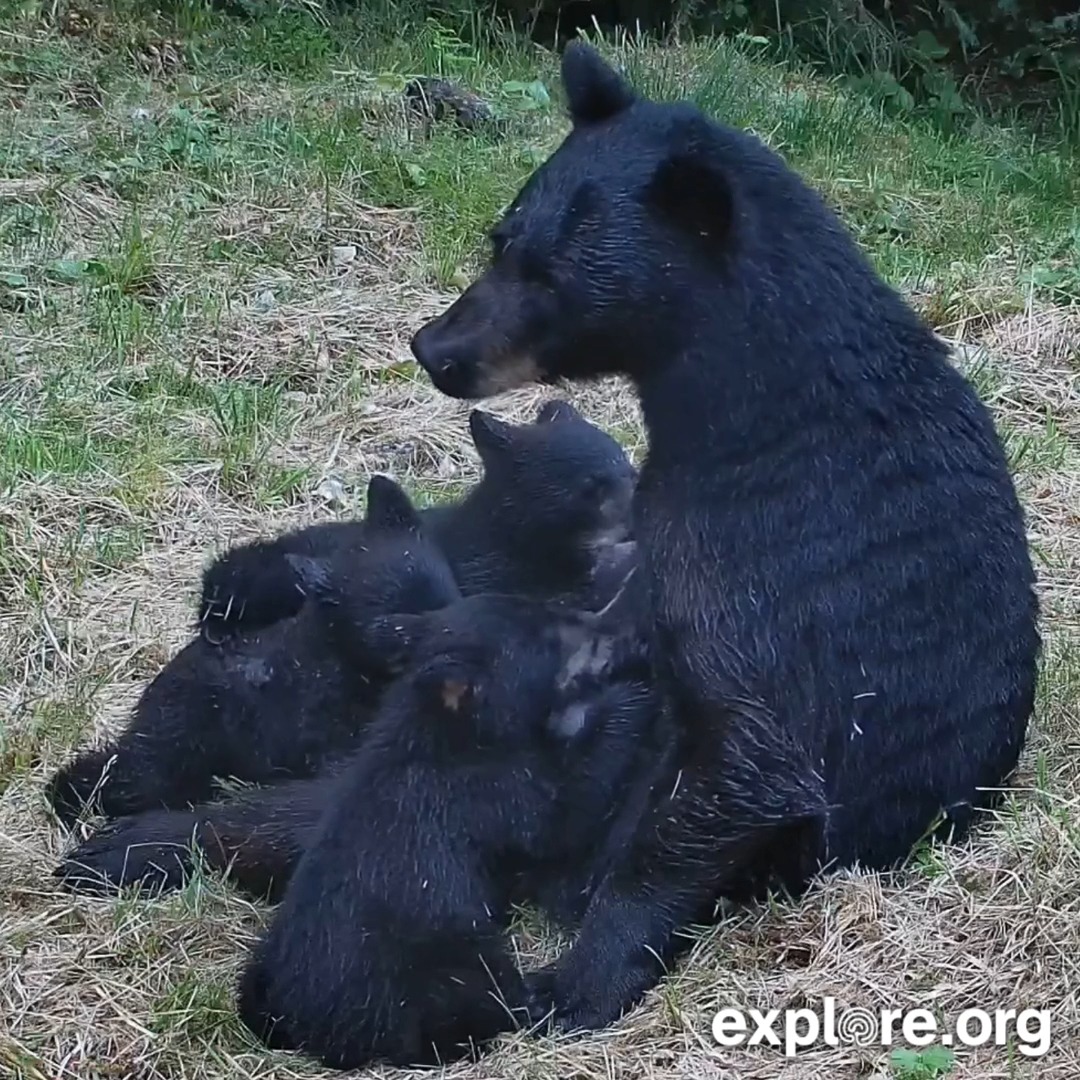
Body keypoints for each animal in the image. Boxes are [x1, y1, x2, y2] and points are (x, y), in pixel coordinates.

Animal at [235, 591, 655, 1070]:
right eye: (549, 638)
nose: (623, 627)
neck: (443, 728)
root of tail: (299, 1022)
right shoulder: (498, 793)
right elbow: (569, 805)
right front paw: (628, 700)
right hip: (442, 961)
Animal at [409, 41, 1041, 1032]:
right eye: (501, 238)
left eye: (554, 280)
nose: (435, 348)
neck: (742, 404)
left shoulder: (756, 561)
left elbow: (748, 758)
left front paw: (575, 977)